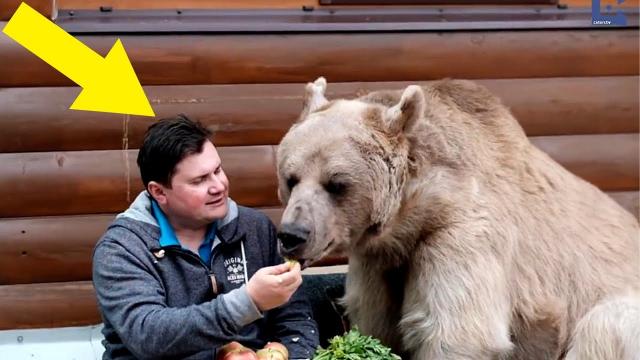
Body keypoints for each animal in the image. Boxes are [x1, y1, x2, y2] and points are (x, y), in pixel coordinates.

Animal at [276, 77, 640, 358]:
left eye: (336, 183)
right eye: (291, 178)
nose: (293, 234)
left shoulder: (461, 232)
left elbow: (457, 332)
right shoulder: (378, 261)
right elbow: (376, 325)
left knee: (604, 326)